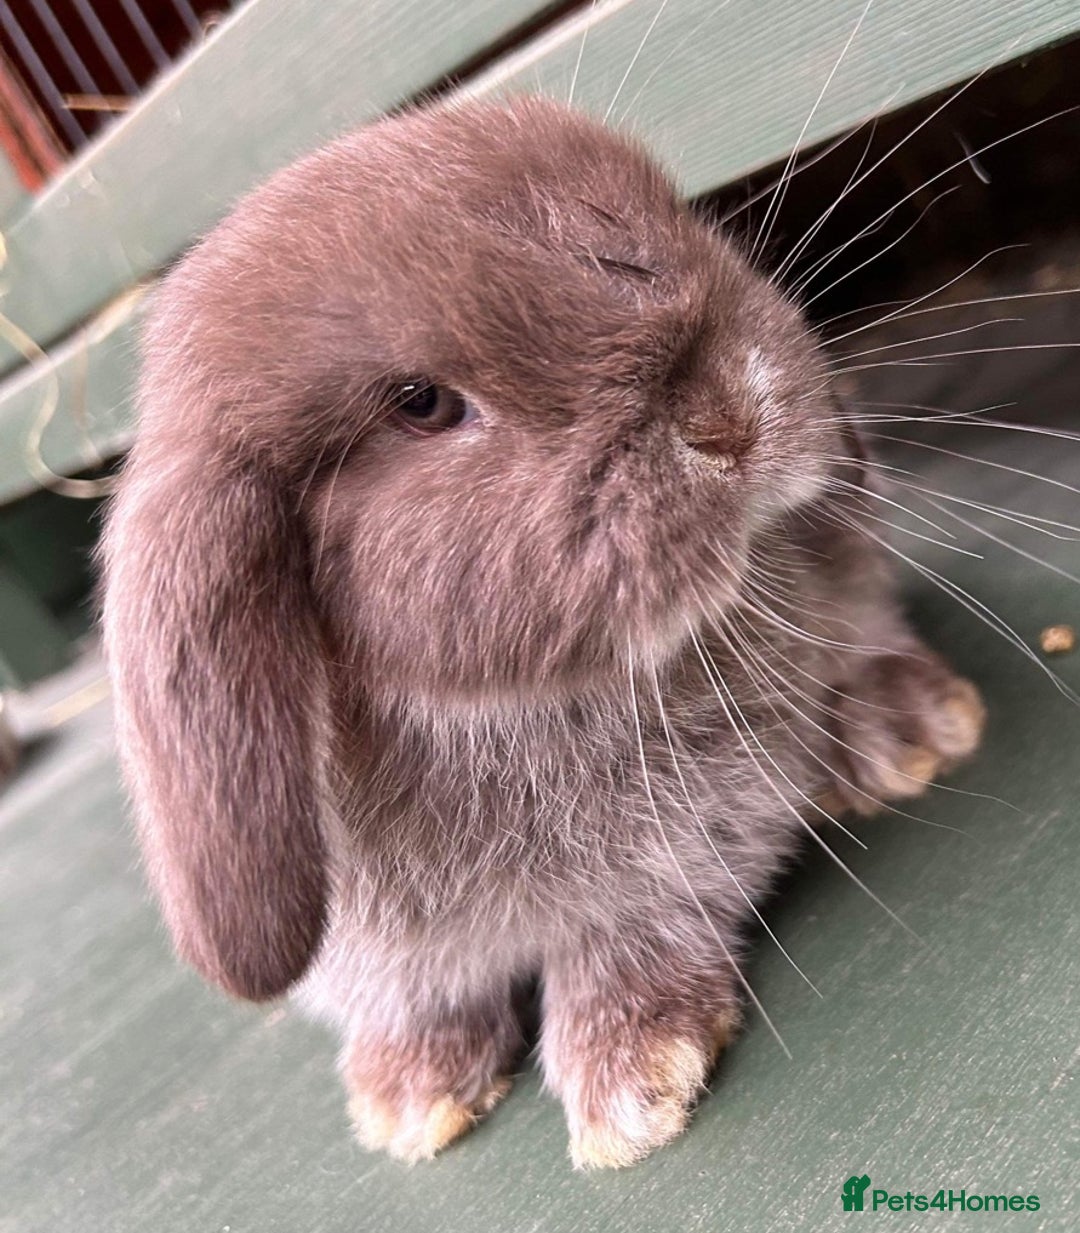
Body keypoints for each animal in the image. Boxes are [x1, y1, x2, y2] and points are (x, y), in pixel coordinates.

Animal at [100, 94, 985, 1169]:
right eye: (422, 403)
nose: (731, 417)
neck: (497, 708)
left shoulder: (696, 820)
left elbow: (643, 915)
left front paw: (632, 1073)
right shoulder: (381, 951)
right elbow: (419, 999)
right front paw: (408, 1097)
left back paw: (903, 731)